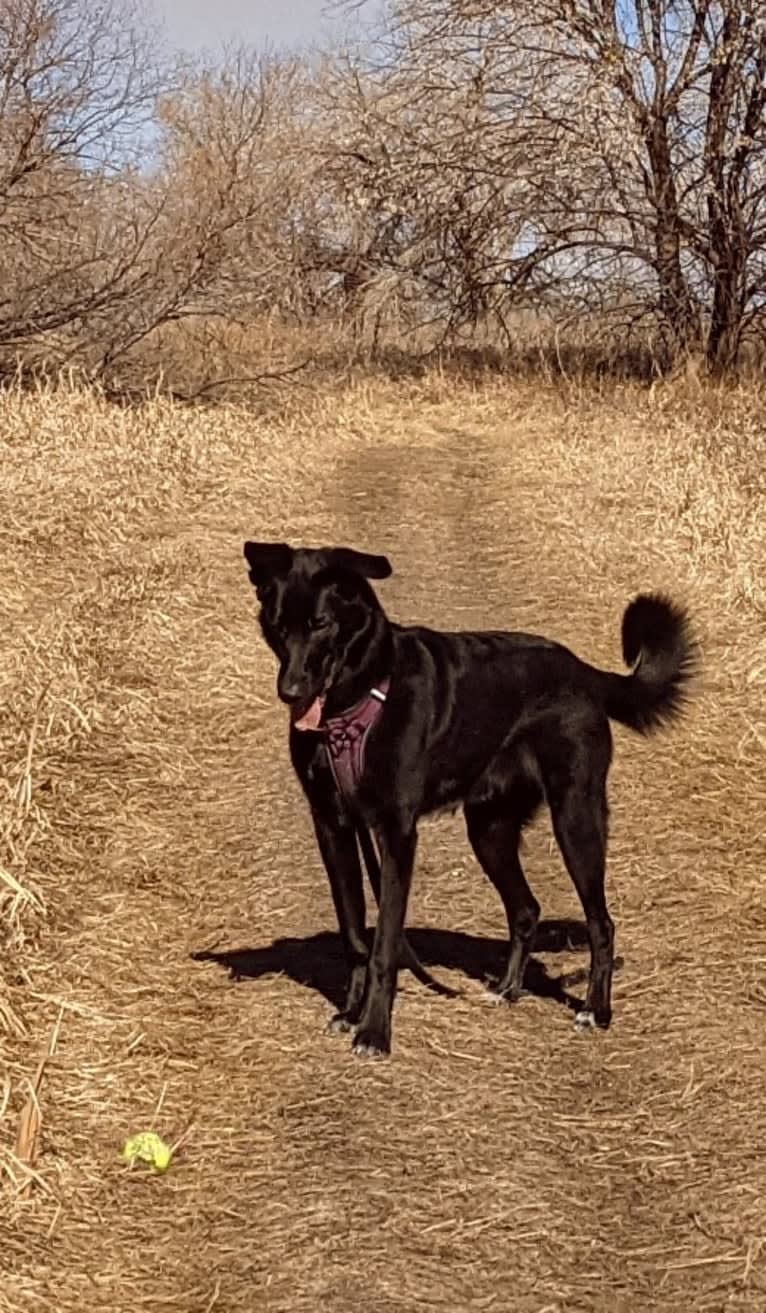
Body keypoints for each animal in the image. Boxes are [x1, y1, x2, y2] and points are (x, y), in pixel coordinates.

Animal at [243, 538, 698, 1060]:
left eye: (321, 624)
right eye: (278, 626)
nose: (290, 691)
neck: (354, 700)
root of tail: (581, 670)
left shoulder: (395, 832)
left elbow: (384, 946)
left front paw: (374, 1032)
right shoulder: (333, 826)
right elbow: (355, 934)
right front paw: (351, 1013)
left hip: (576, 818)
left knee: (602, 924)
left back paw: (594, 1011)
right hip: (489, 829)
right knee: (526, 910)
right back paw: (507, 989)